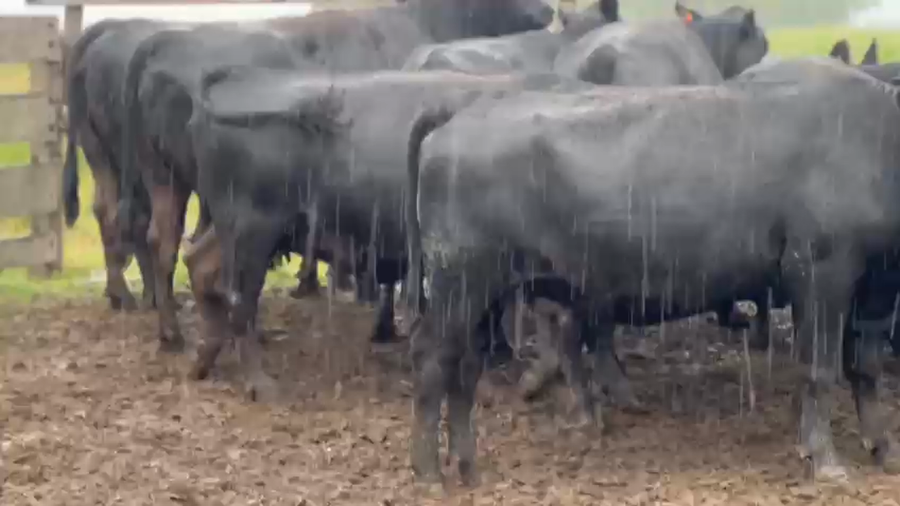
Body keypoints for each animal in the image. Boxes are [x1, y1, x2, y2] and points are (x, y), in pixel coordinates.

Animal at [407, 59, 900, 486]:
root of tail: (459, 116)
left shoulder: (877, 284)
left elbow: (866, 367)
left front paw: (881, 446)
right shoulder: (821, 273)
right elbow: (821, 370)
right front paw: (825, 459)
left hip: (487, 296)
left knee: (466, 370)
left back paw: (467, 467)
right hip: (459, 286)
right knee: (434, 363)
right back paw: (428, 471)